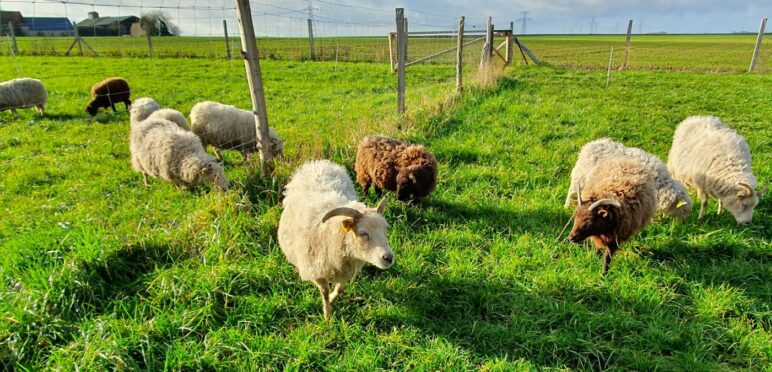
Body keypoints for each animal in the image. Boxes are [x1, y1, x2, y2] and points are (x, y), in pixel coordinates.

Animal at [278, 160, 396, 320]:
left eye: (386, 229)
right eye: (362, 233)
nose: (388, 258)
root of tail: (318, 163)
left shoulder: (346, 271)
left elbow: (340, 289)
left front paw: (333, 300)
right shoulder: (317, 270)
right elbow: (324, 292)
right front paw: (327, 315)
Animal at [560, 140, 692, 221]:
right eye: (683, 209)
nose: (683, 223)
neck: (660, 183)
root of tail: (589, 145)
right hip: (580, 177)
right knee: (571, 191)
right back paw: (566, 206)